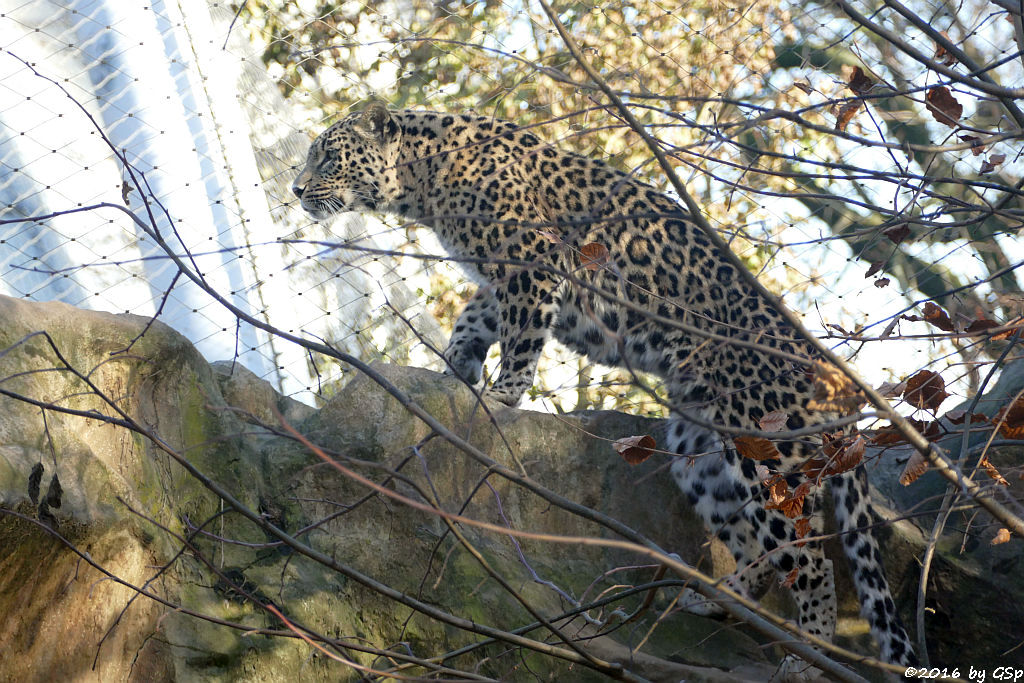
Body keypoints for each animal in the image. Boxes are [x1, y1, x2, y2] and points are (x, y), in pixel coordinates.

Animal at [292, 102, 917, 671]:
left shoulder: (532, 261)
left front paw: (502, 395)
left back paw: (806, 657)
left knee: (811, 561)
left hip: (766, 455)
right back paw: (716, 602)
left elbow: (521, 336)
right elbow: (475, 319)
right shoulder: (503, 276)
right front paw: (456, 368)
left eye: (326, 154)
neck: (424, 179)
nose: (296, 190)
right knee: (753, 543)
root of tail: (829, 373)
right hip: (700, 449)